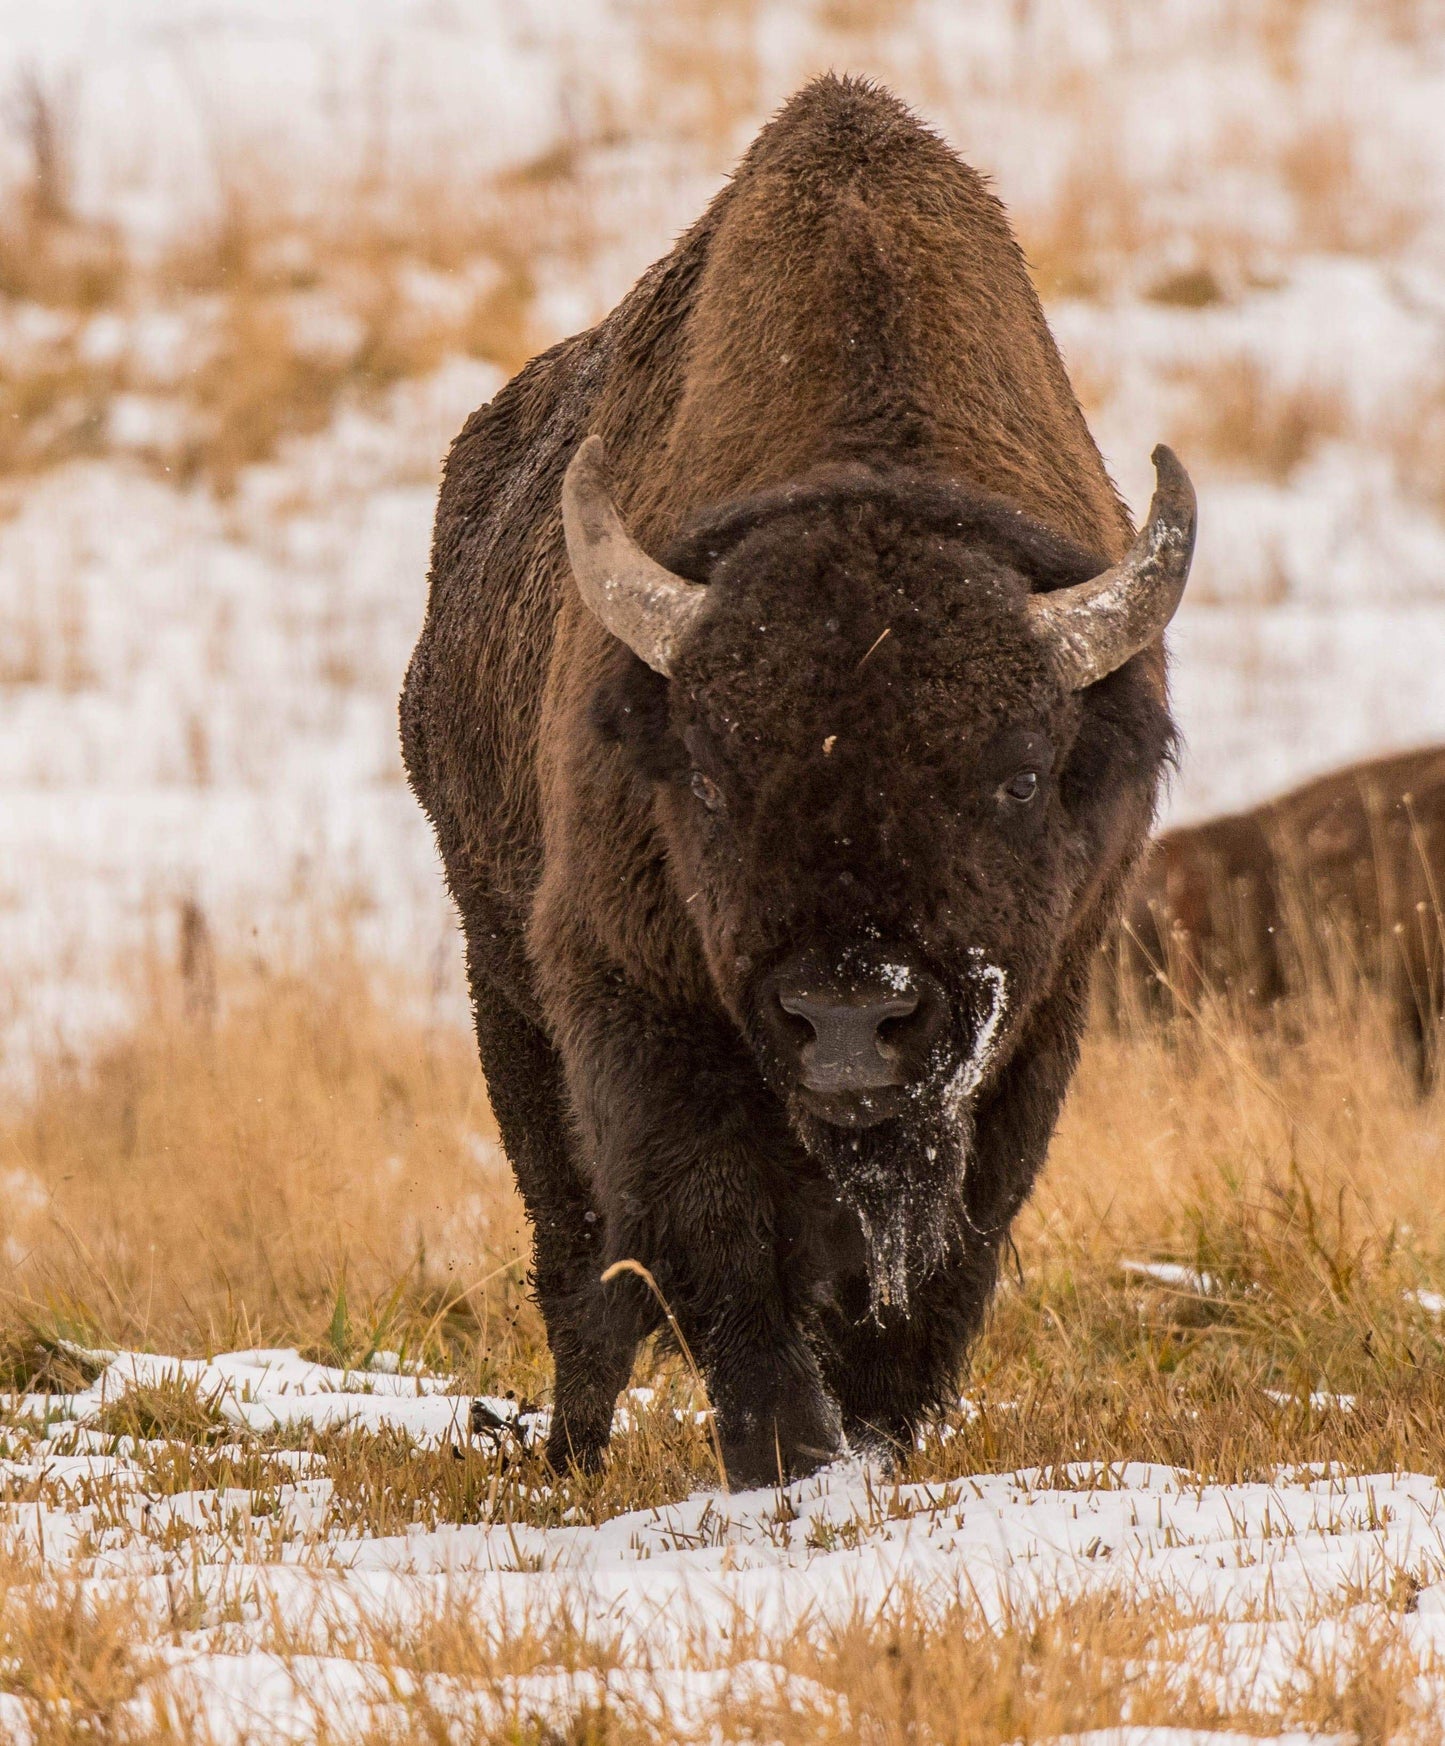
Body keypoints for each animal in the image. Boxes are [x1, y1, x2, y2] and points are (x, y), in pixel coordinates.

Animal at [401, 76, 1195, 1484]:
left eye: (1016, 776)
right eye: (711, 780)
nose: (844, 1018)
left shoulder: (1041, 1015)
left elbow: (942, 1259)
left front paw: (866, 1445)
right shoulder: (634, 995)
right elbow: (716, 1239)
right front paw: (786, 1453)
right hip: (501, 980)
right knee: (576, 1262)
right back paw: (571, 1451)